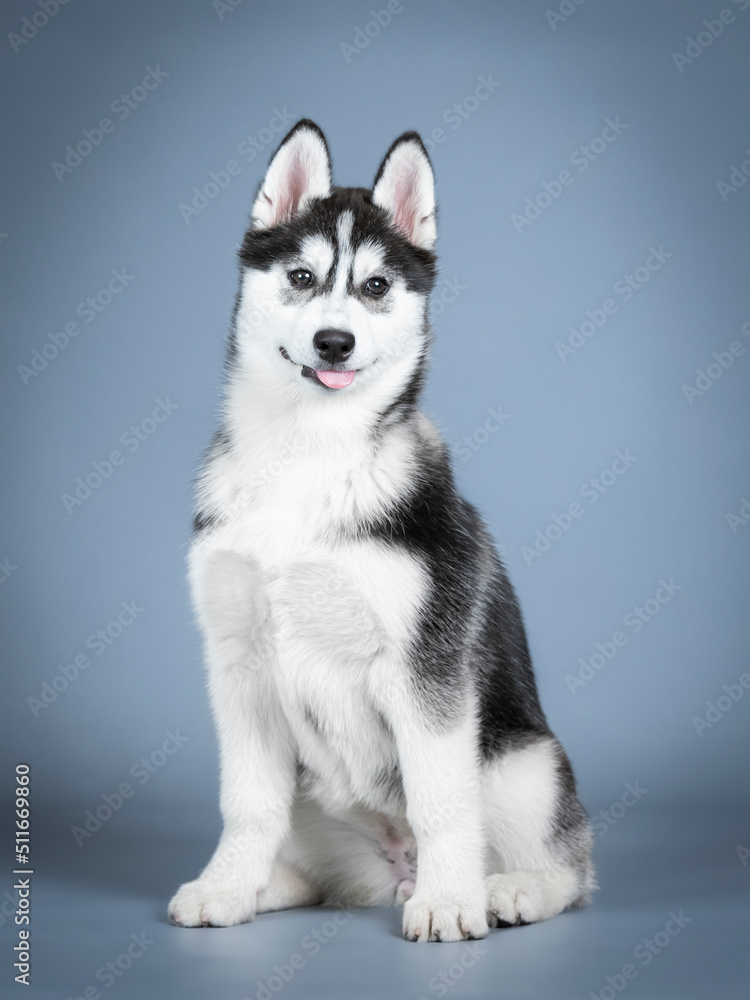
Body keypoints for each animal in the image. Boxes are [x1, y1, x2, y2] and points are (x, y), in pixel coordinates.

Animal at [167, 121, 596, 940]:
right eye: (301, 277)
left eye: (375, 288)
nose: (334, 342)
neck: (307, 454)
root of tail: (390, 873)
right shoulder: (237, 663)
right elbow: (247, 802)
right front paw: (227, 885)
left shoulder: (425, 664)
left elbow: (441, 801)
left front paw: (451, 902)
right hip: (322, 806)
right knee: (312, 864)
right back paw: (274, 884)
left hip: (523, 762)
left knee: (573, 867)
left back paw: (508, 890)